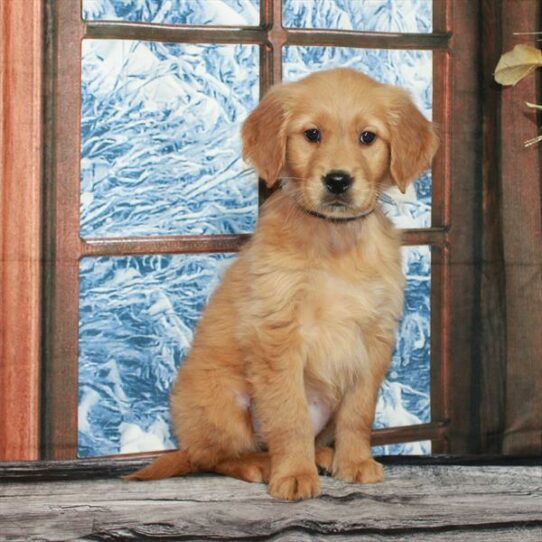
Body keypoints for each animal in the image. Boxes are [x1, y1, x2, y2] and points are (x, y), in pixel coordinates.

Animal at [129, 67, 442, 502]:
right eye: (312, 134)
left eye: (367, 137)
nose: (338, 180)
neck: (333, 239)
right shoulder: (279, 335)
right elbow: (289, 415)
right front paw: (293, 474)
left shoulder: (374, 338)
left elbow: (359, 412)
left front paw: (355, 462)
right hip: (223, 401)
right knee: (215, 456)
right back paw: (261, 464)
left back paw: (323, 455)